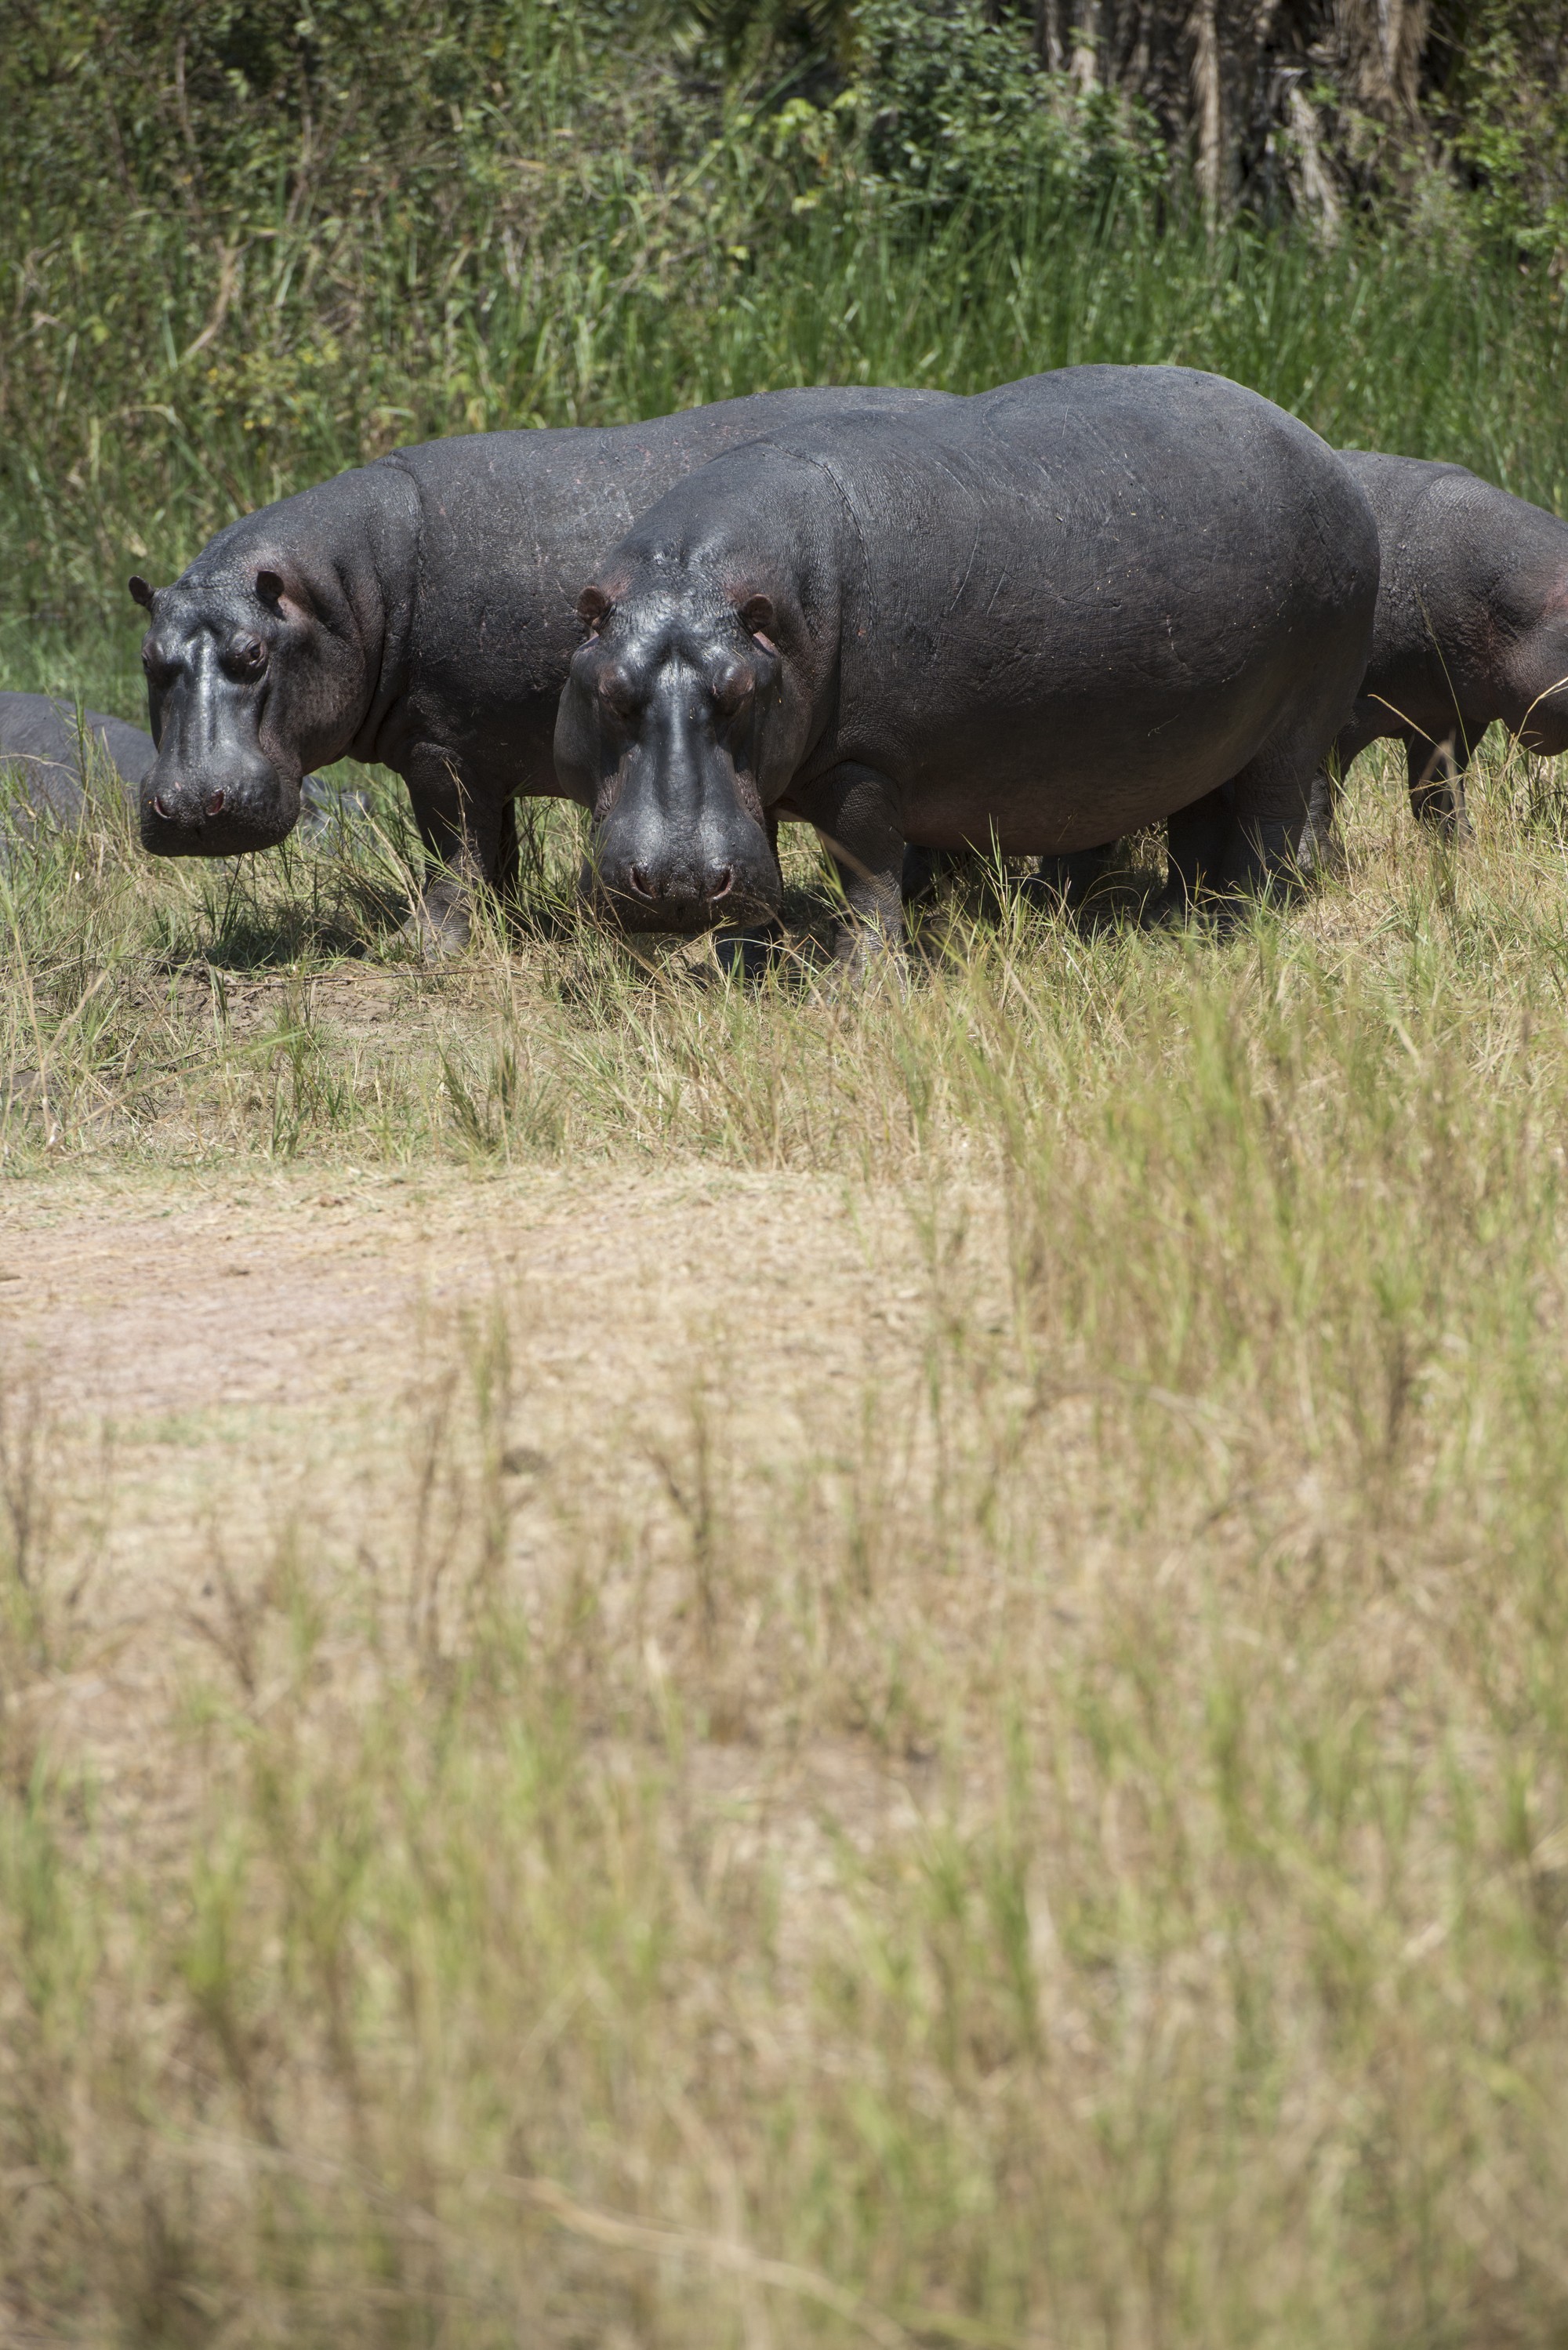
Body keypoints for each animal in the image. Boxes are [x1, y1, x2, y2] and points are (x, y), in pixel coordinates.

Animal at [125, 380, 959, 939]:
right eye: (148, 658)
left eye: (253, 653)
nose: (191, 808)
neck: (347, 592)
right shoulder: (480, 753)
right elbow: (494, 853)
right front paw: (504, 928)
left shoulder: (441, 749)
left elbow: (452, 852)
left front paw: (425, 945)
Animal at [557, 366, 1382, 953]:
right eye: (609, 690)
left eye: (738, 692)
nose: (679, 882)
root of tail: (1322, 449)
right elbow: (768, 862)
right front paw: (741, 967)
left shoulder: (864, 764)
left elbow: (867, 875)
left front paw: (858, 990)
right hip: (1208, 730)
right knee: (1201, 818)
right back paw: (1178, 920)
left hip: (1296, 722)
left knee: (1270, 820)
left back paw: (1240, 927)